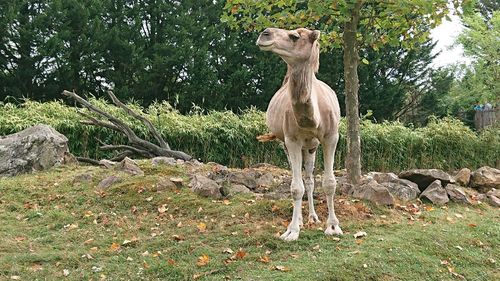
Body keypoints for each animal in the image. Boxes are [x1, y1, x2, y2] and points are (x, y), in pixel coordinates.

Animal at [256, 27, 342, 240]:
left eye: (294, 36)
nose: (264, 34)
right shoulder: (291, 140)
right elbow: (295, 187)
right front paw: (292, 230)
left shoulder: (331, 137)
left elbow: (329, 182)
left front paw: (333, 227)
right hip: (288, 144)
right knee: (300, 180)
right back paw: (301, 220)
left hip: (311, 146)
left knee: (310, 178)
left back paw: (313, 217)